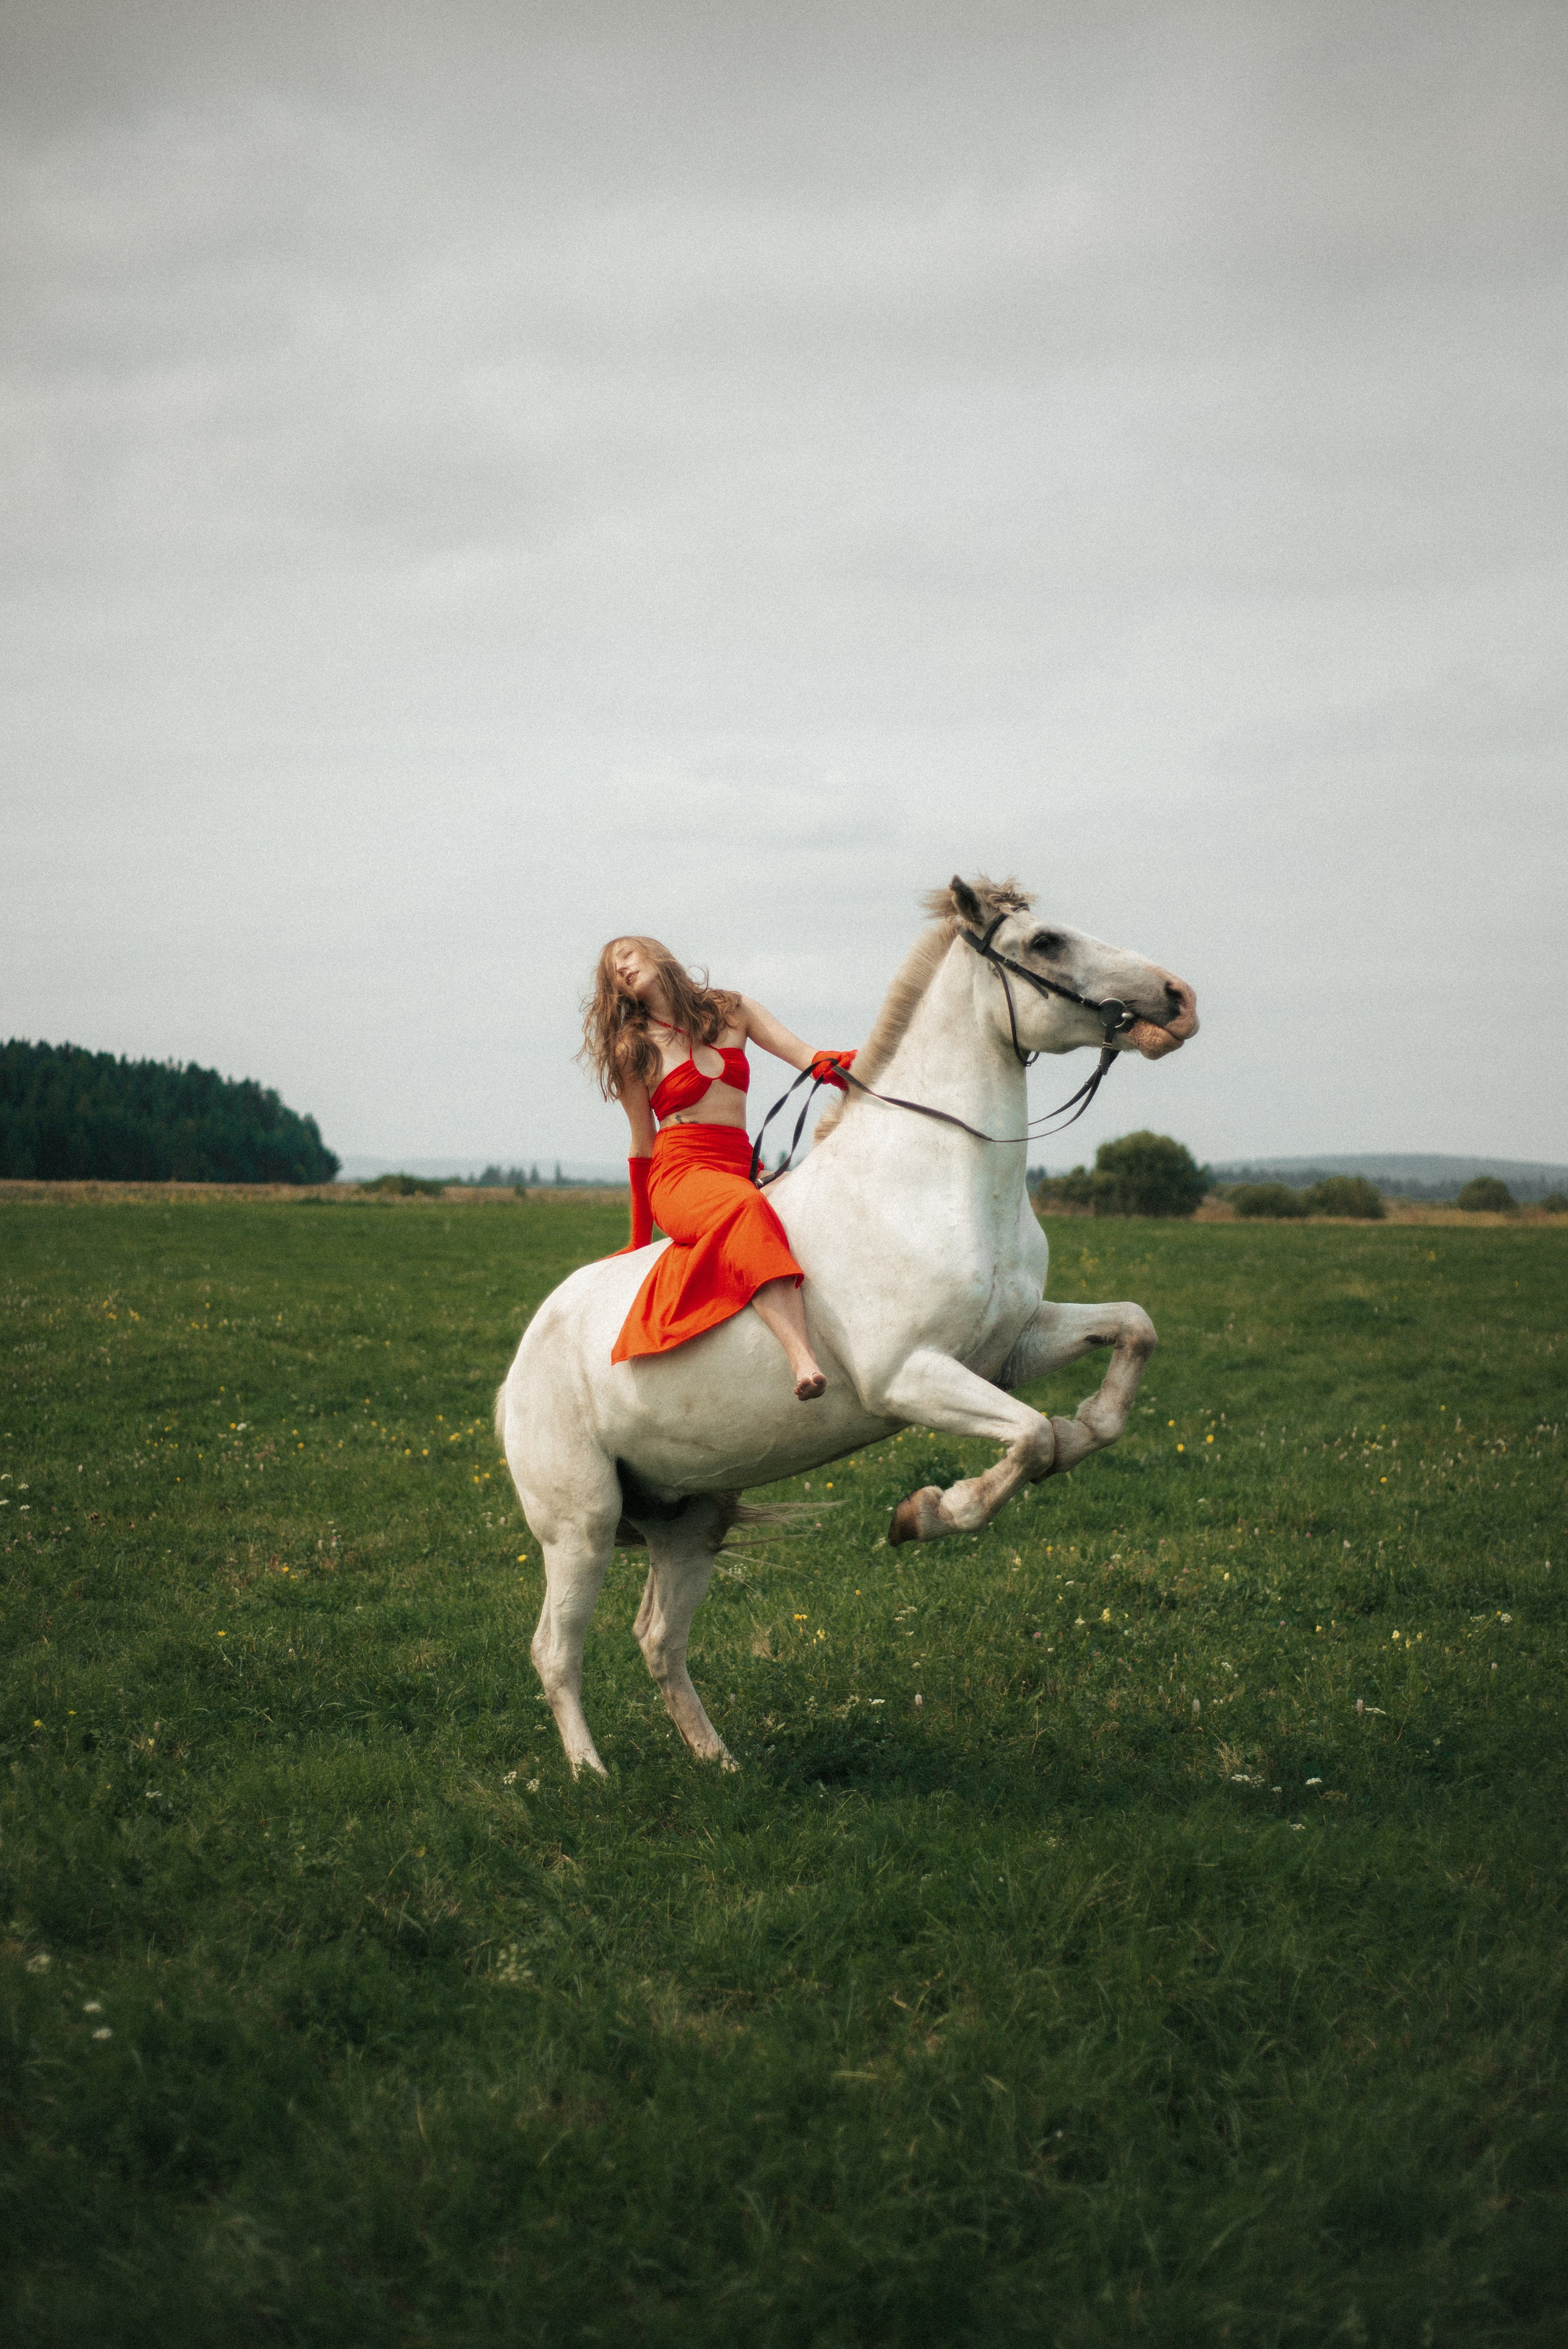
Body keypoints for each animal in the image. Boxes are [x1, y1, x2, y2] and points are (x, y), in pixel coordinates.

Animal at [495, 873, 1199, 1776]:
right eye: (1045, 941)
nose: (1176, 999)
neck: (928, 1177)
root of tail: (521, 1364)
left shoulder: (1008, 1349)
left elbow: (1128, 1339)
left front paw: (1081, 1433)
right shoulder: (909, 1377)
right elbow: (1029, 1436)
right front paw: (925, 1513)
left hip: (687, 1521)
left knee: (658, 1639)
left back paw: (721, 1765)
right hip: (578, 1530)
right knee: (556, 1650)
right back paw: (592, 1775)